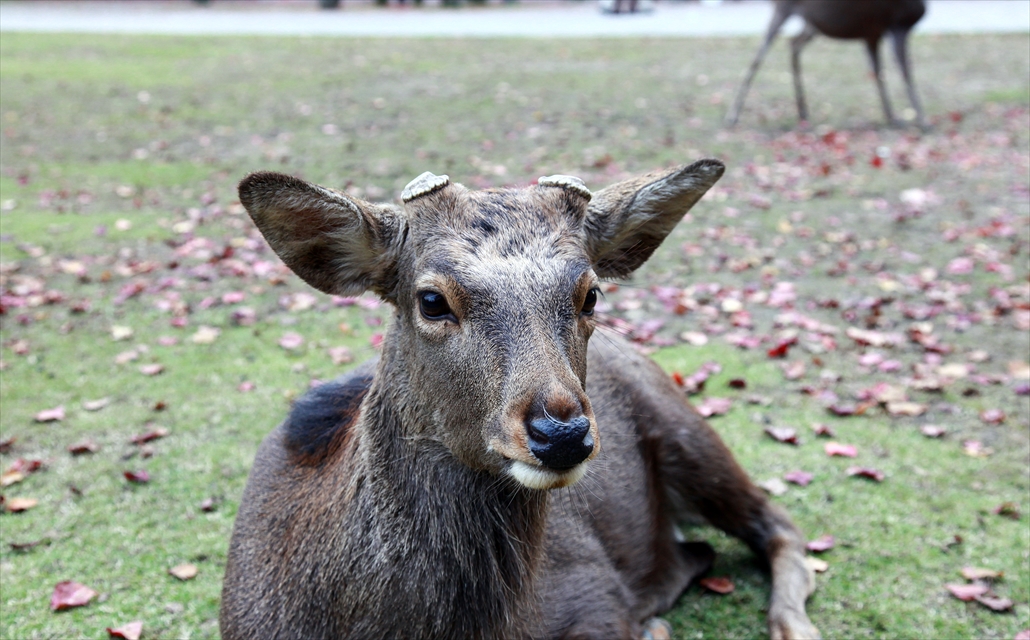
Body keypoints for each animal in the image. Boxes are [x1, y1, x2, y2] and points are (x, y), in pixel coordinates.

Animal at [219, 158, 819, 638]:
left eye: (590, 293)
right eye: (431, 300)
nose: (562, 433)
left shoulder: (593, 592)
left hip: (684, 424)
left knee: (778, 523)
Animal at [725, 0, 935, 128]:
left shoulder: (872, 33)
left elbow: (878, 72)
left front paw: (892, 116)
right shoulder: (898, 23)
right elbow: (905, 71)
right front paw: (922, 120)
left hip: (812, 23)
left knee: (793, 43)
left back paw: (802, 111)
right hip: (785, 9)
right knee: (758, 57)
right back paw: (733, 116)